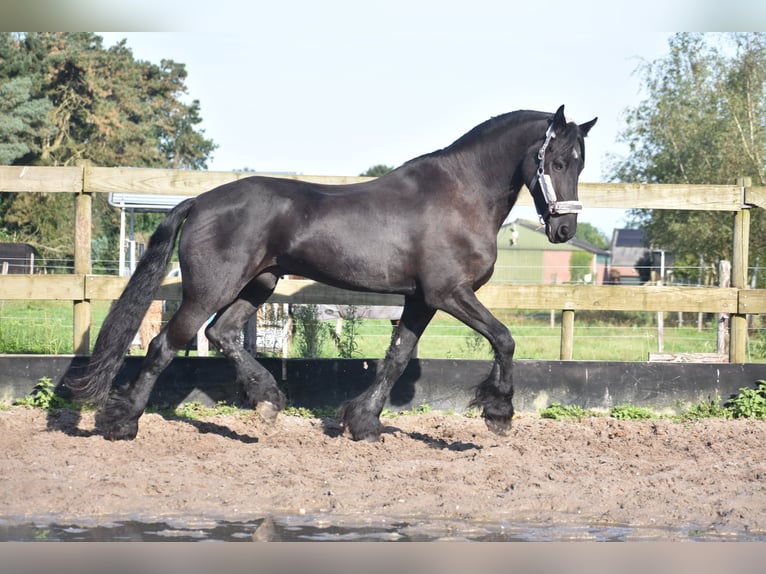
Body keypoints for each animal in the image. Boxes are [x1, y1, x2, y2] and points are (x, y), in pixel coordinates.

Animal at [67, 107, 592, 440]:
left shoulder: (420, 299)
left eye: (581, 163)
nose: (564, 228)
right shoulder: (449, 293)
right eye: (556, 161)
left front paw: (363, 423)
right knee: (165, 345)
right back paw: (122, 424)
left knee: (222, 334)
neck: (459, 195)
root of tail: (200, 201)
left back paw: (267, 399)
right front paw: (499, 414)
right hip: (210, 290)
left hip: (258, 284)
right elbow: (504, 338)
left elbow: (396, 357)